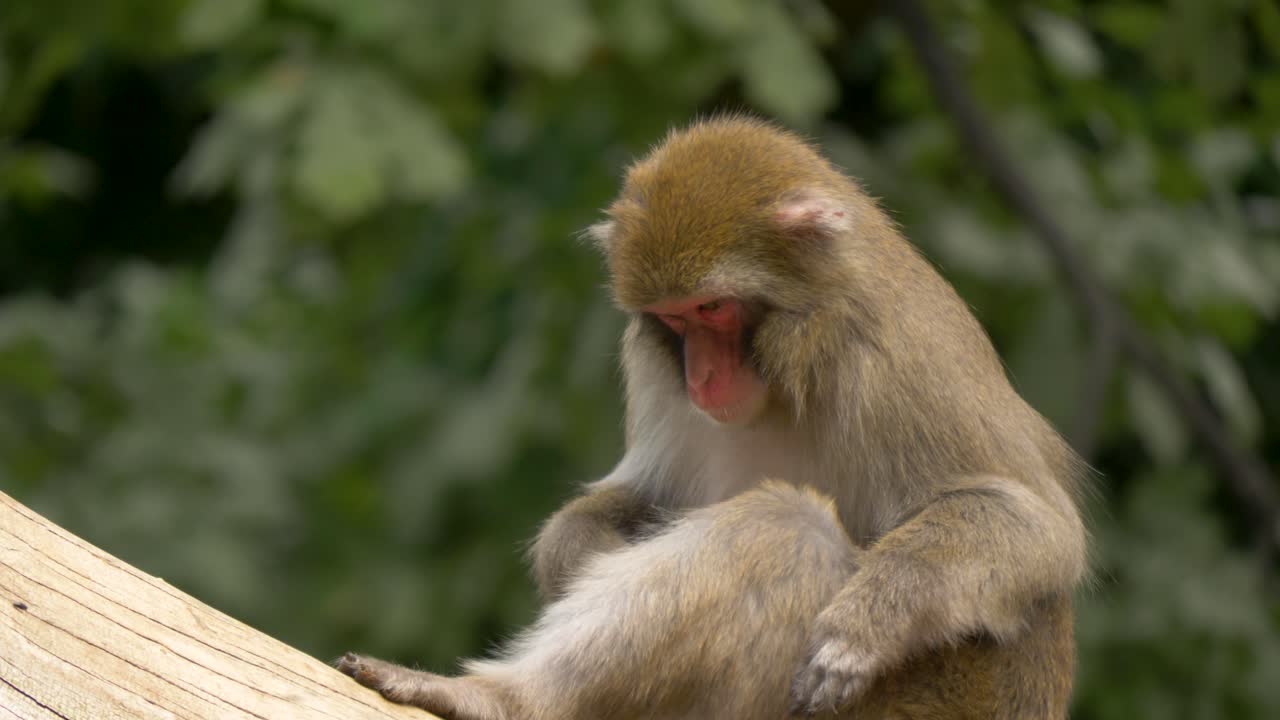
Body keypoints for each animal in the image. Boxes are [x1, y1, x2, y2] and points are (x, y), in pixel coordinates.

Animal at [339, 116, 1087, 720]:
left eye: (713, 308)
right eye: (672, 319)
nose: (701, 377)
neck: (793, 370)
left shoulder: (896, 356)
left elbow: (1031, 525)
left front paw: (867, 623)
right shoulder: (650, 368)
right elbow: (643, 496)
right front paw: (576, 552)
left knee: (788, 528)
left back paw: (506, 699)